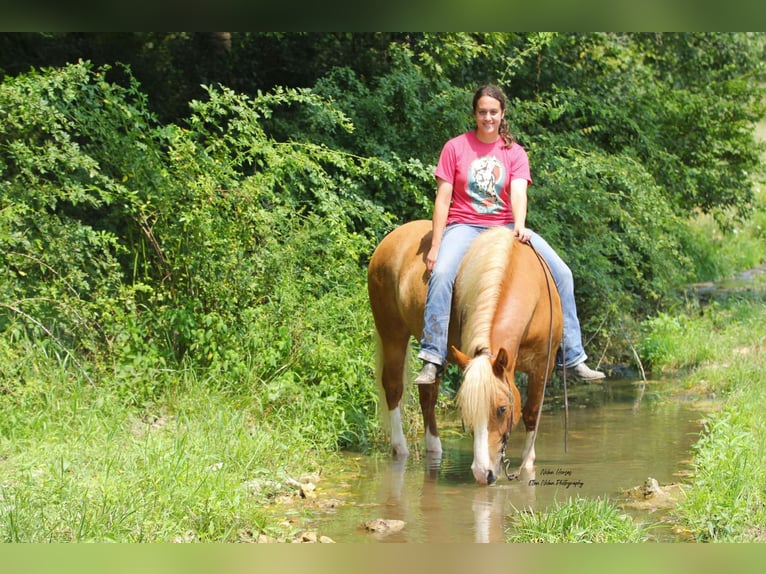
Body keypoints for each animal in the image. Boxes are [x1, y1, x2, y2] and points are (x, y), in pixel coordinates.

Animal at [366, 220, 564, 486]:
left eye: (502, 409)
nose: (483, 474)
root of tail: (392, 238)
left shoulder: (543, 363)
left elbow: (532, 412)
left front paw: (528, 462)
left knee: (428, 391)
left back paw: (434, 448)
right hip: (392, 332)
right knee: (394, 386)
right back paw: (401, 448)